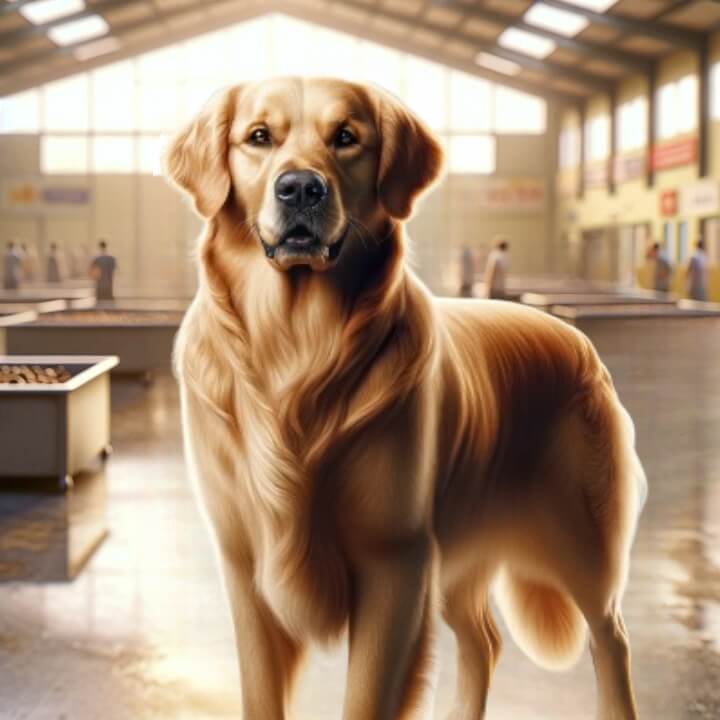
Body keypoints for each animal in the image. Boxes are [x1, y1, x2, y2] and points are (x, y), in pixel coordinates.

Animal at [167, 79, 648, 720]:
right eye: (258, 136)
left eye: (346, 137)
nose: (300, 187)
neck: (297, 352)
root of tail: (579, 340)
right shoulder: (246, 563)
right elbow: (261, 694)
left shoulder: (394, 561)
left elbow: (367, 697)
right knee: (484, 640)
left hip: (581, 542)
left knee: (610, 637)